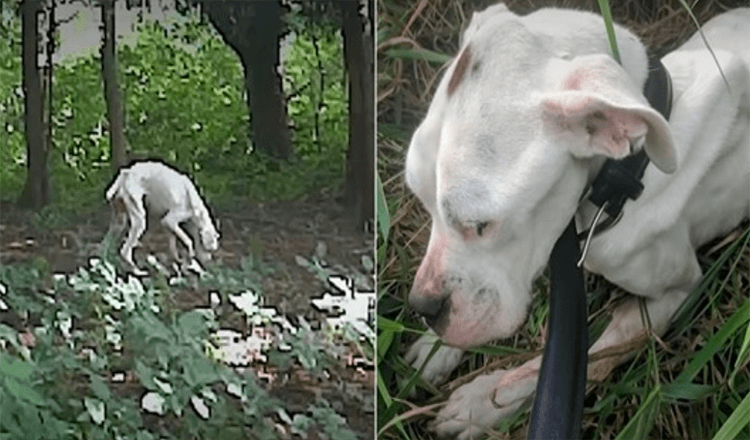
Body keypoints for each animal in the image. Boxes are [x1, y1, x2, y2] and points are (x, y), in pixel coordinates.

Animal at [406, 4, 750, 440]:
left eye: (480, 224)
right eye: (422, 202)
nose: (424, 308)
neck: (627, 172)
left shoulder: (676, 293)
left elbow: (585, 355)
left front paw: (482, 402)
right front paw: (435, 350)